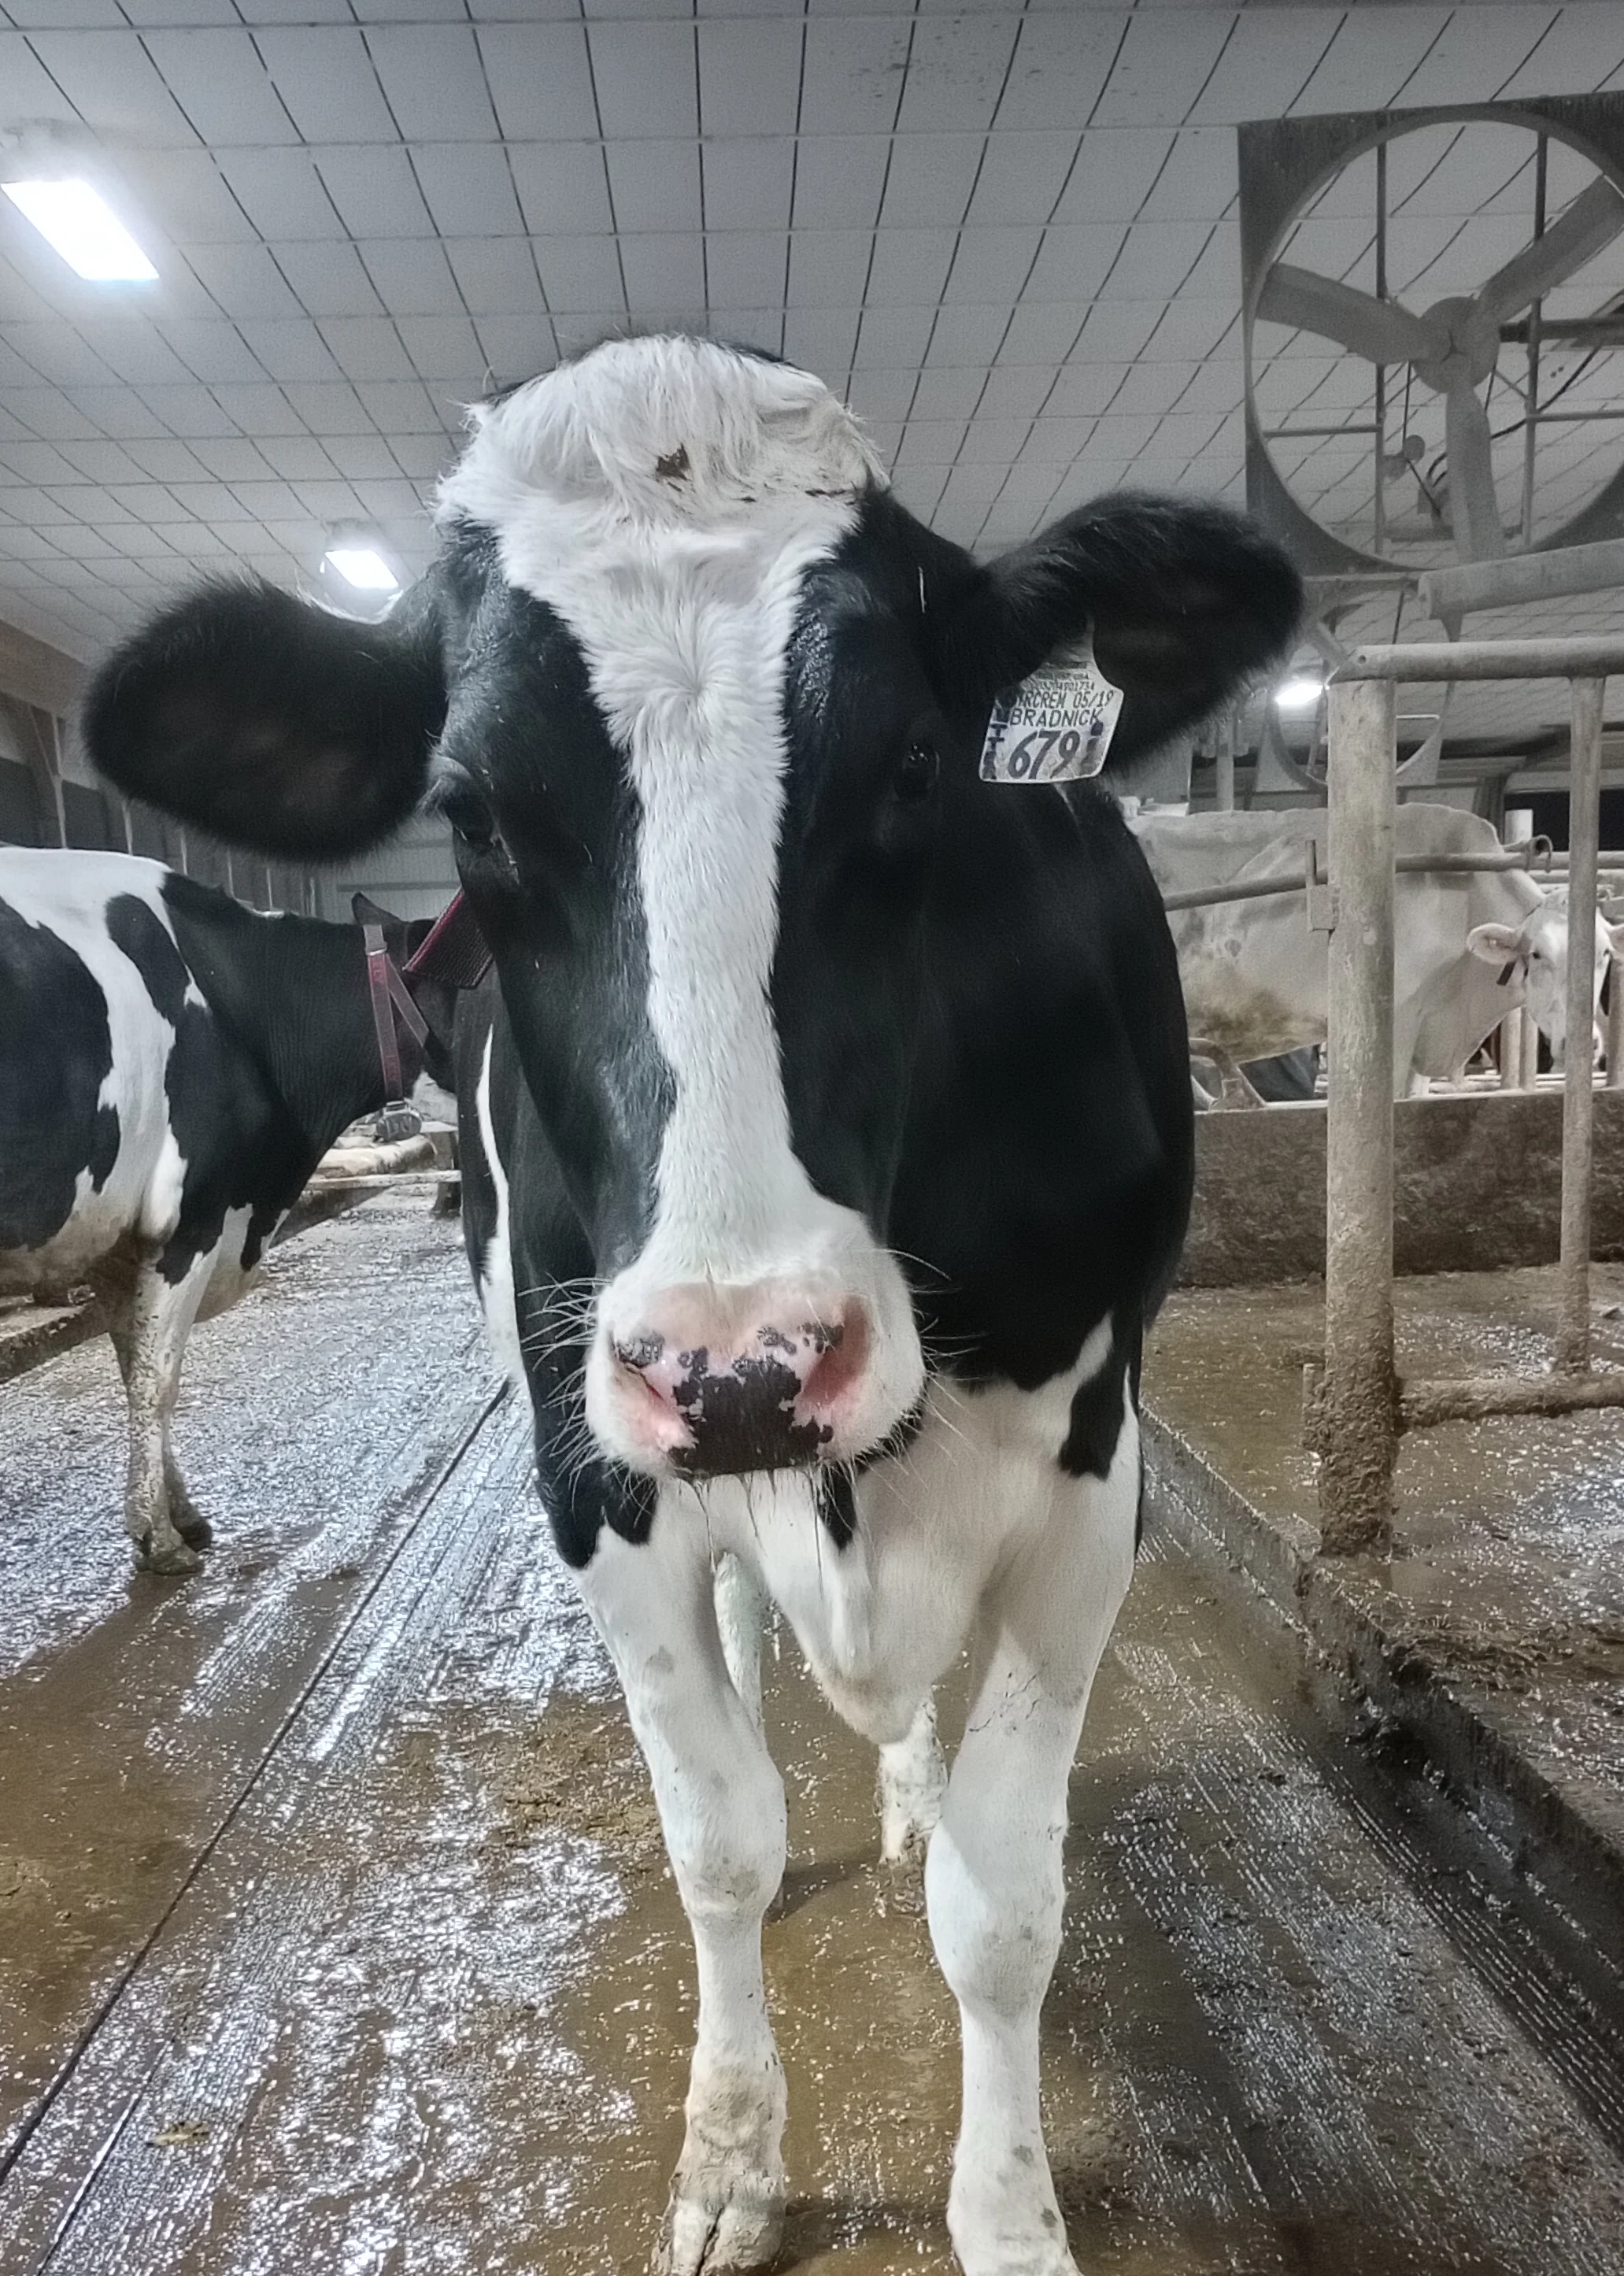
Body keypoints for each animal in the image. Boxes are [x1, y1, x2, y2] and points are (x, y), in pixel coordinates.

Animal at [0, 850, 451, 1573]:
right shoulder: (194, 1215)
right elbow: (158, 1380)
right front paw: (157, 1538)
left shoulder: (118, 1237)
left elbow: (135, 1369)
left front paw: (178, 1513)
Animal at [83, 335, 1298, 2275]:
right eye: (470, 815)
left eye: (913, 765)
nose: (744, 1364)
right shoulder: (594, 1467)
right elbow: (718, 1837)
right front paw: (731, 2153)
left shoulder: (1091, 1476)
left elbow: (1001, 1903)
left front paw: (1007, 2205)